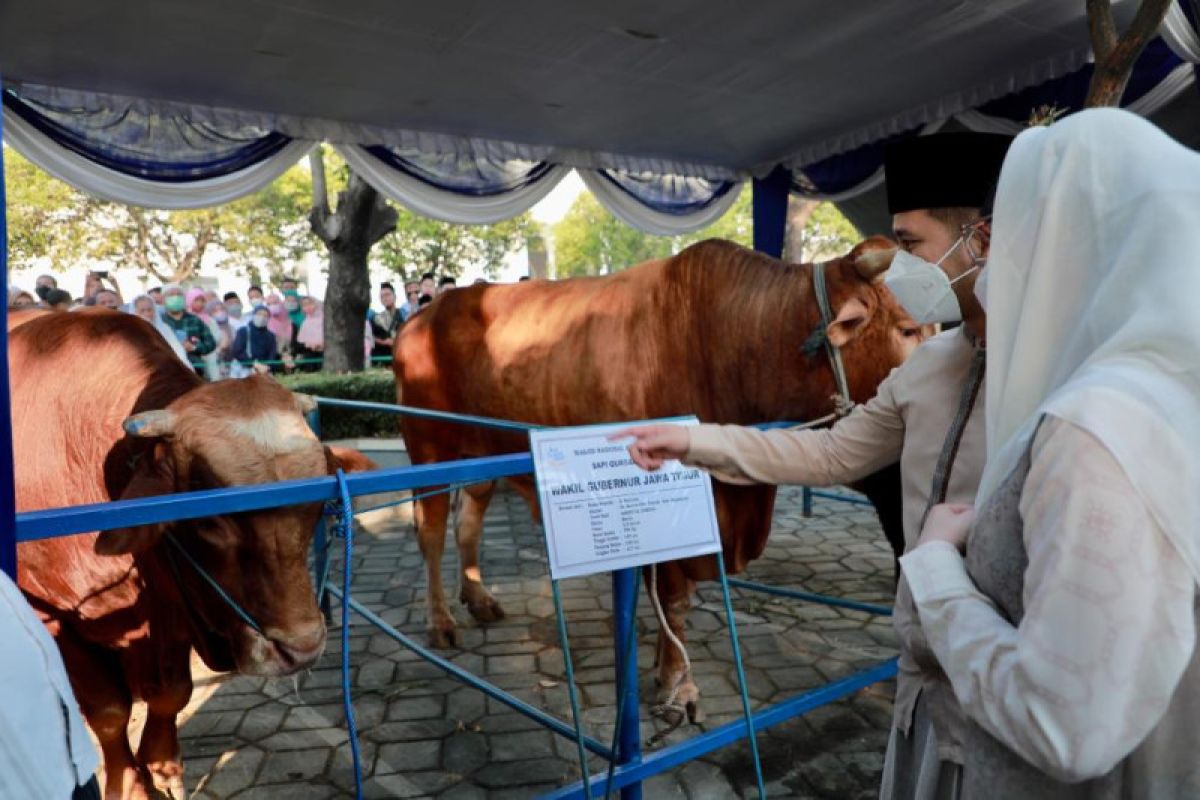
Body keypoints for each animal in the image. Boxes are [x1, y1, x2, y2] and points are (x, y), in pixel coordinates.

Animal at [7, 311, 360, 800]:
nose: (302, 648)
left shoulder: (170, 607)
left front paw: (163, 768)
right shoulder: (53, 620)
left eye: (317, 506)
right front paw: (129, 782)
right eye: (209, 521)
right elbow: (109, 712)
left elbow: (171, 692)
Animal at [393, 236, 926, 719]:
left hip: (478, 454)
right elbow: (674, 597)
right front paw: (677, 682)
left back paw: (478, 597)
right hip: (428, 446)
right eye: (907, 329)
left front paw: (659, 668)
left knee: (469, 520)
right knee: (432, 530)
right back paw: (440, 620)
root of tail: (426, 313)